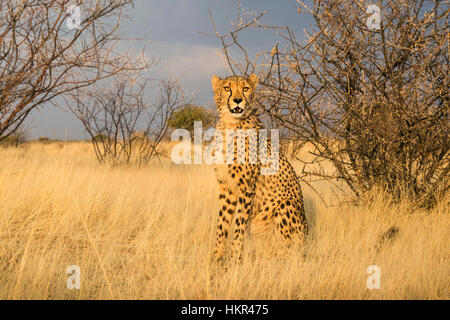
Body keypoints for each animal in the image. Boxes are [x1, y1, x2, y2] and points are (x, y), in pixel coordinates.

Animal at [209, 74, 308, 262]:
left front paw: (235, 259)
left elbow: (238, 225)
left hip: (286, 205)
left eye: (246, 88)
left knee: (288, 251)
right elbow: (222, 224)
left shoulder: (246, 188)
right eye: (227, 88)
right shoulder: (226, 187)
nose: (238, 100)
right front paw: (215, 257)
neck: (230, 125)